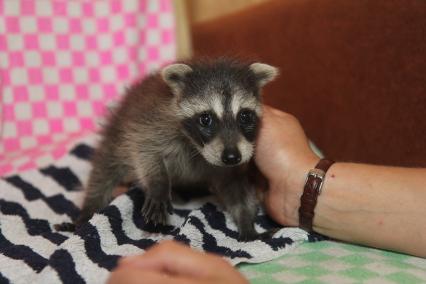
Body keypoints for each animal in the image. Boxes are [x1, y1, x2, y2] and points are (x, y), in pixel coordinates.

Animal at [75, 58, 276, 241]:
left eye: (245, 116)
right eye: (205, 119)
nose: (232, 157)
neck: (196, 147)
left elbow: (236, 188)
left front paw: (246, 222)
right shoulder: (150, 123)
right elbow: (145, 152)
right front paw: (158, 185)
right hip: (117, 132)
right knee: (104, 169)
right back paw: (89, 207)